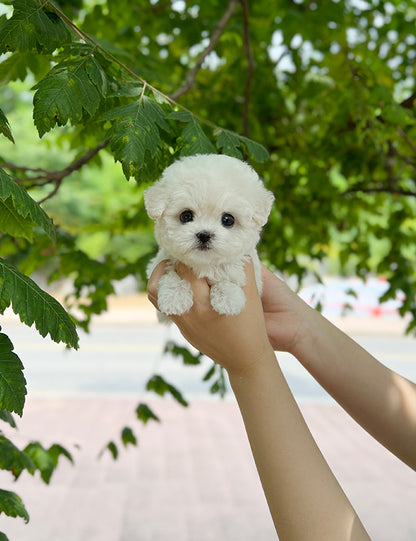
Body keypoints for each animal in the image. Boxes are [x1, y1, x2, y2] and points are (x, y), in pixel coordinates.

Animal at [145, 153, 274, 316]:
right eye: (186, 216)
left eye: (228, 220)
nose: (204, 235)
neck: (204, 265)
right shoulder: (159, 262)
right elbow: (170, 274)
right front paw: (174, 298)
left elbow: (230, 276)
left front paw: (228, 298)